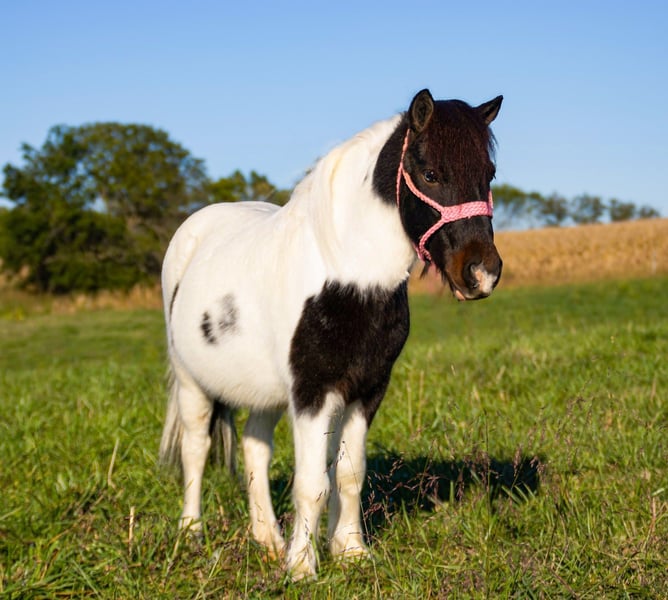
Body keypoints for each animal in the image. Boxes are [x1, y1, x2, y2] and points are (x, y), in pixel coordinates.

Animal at [159, 89, 503, 580]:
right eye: (431, 173)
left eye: (489, 173)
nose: (481, 274)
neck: (344, 273)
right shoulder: (313, 392)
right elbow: (312, 482)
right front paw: (302, 567)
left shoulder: (367, 389)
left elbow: (349, 474)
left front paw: (351, 551)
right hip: (192, 383)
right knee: (195, 449)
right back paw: (191, 534)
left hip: (265, 391)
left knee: (254, 447)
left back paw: (267, 539)